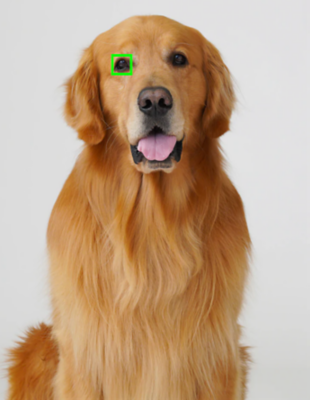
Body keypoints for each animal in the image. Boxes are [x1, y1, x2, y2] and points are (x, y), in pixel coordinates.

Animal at [6, 14, 252, 398]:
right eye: (121, 64)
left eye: (179, 59)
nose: (154, 101)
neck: (151, 218)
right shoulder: (86, 355)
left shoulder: (217, 355)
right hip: (37, 345)